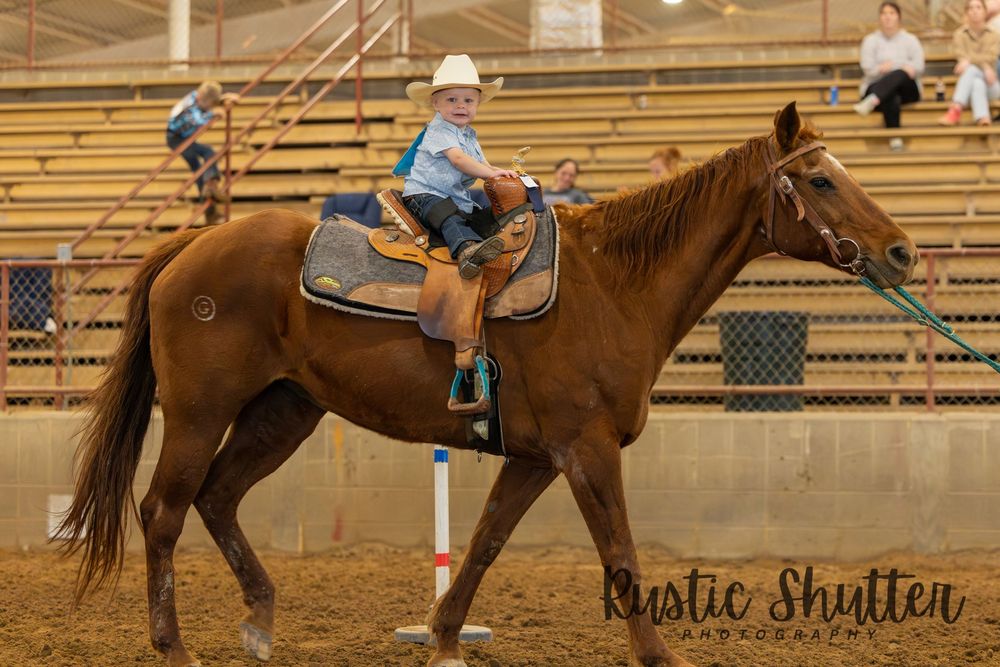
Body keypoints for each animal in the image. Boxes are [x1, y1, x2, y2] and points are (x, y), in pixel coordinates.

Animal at [57, 102, 917, 667]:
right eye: (820, 180)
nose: (903, 251)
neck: (612, 283)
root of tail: (194, 242)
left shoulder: (535, 457)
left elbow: (483, 544)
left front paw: (443, 638)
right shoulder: (586, 449)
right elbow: (620, 553)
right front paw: (659, 654)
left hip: (283, 412)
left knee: (217, 498)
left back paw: (262, 621)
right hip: (199, 412)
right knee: (163, 510)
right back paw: (173, 645)